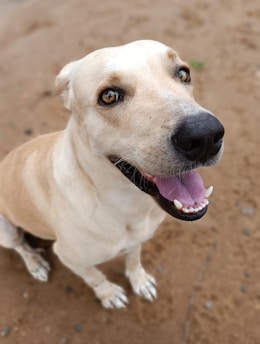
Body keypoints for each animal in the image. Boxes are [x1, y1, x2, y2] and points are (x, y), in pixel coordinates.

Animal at [0, 40, 224, 310]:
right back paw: (35, 263)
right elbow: (96, 277)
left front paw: (139, 281)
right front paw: (108, 294)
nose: (205, 136)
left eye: (183, 73)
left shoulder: (137, 239)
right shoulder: (70, 258)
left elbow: (134, 260)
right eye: (109, 96)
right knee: (20, 246)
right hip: (6, 230)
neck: (123, 205)